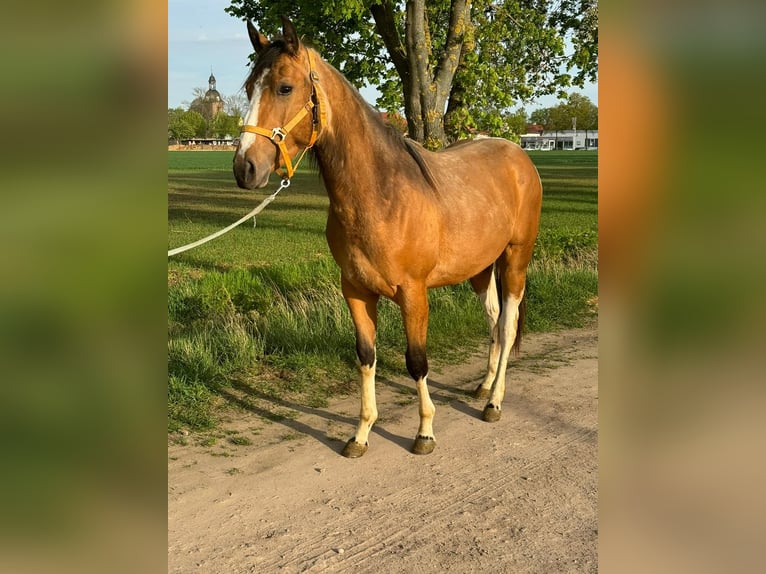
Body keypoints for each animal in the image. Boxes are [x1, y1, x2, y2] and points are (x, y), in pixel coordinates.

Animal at [231, 15, 544, 462]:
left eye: (285, 87)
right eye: (248, 89)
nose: (246, 168)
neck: (381, 195)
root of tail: (517, 154)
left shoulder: (414, 293)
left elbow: (416, 361)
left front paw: (425, 432)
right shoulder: (356, 291)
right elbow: (366, 357)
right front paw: (361, 434)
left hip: (516, 259)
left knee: (509, 323)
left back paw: (494, 402)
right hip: (481, 269)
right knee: (494, 317)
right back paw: (483, 386)